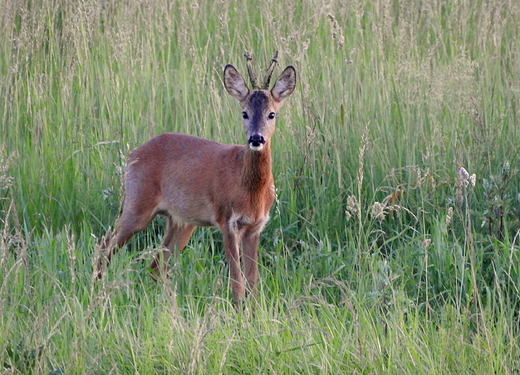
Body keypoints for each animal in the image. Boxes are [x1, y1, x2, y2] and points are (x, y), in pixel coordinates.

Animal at [95, 53, 294, 302]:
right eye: (244, 113)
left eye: (272, 114)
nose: (256, 139)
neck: (249, 189)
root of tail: (133, 154)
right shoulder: (226, 219)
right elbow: (237, 281)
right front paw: (238, 309)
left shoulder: (255, 225)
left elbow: (252, 281)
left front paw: (255, 309)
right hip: (137, 203)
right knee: (104, 247)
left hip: (180, 221)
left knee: (156, 266)